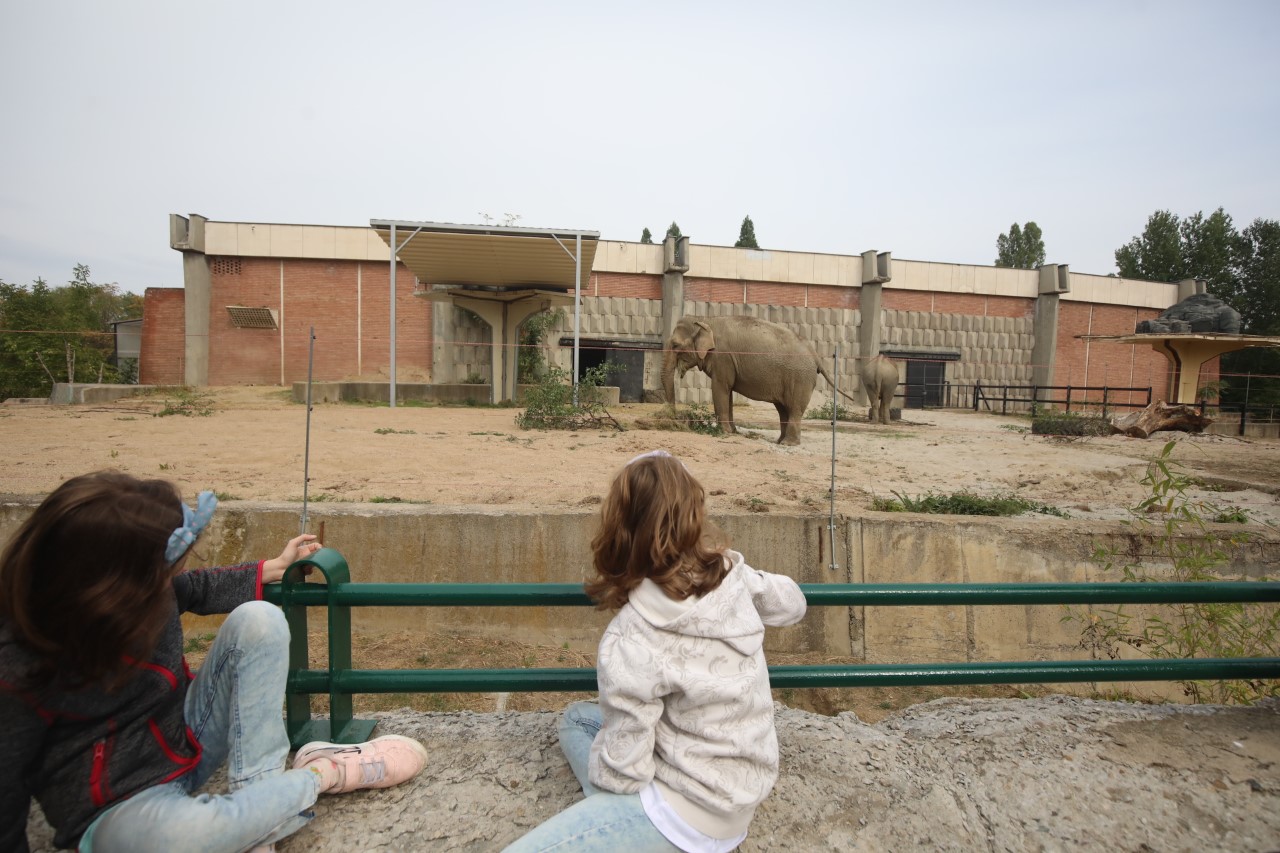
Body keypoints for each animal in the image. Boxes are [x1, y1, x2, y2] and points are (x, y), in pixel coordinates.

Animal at [660, 313, 860, 445]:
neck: (706, 320)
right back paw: (779, 441)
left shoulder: (723, 358)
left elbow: (720, 388)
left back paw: (788, 444)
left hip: (800, 378)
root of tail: (815, 355)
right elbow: (728, 392)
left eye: (675, 345)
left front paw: (724, 432)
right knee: (783, 409)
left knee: (794, 409)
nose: (675, 419)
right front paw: (733, 431)